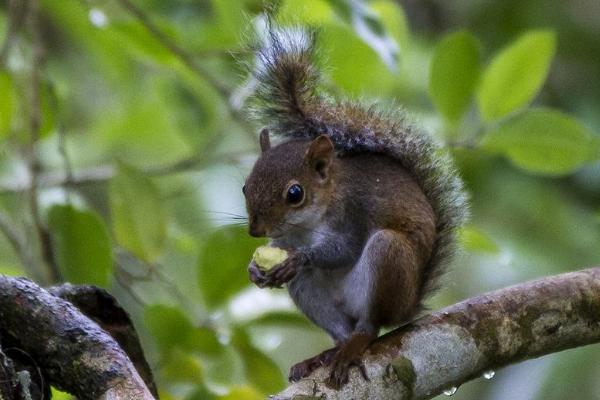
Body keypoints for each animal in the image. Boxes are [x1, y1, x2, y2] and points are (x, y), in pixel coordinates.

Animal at [241, 26, 466, 390]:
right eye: (246, 185)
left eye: (294, 193)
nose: (255, 230)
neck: (306, 227)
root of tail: (408, 306)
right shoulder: (286, 238)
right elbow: (280, 247)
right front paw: (255, 269)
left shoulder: (353, 215)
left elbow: (343, 249)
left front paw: (301, 258)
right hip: (312, 295)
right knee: (340, 330)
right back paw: (324, 355)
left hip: (389, 259)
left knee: (370, 327)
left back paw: (353, 346)